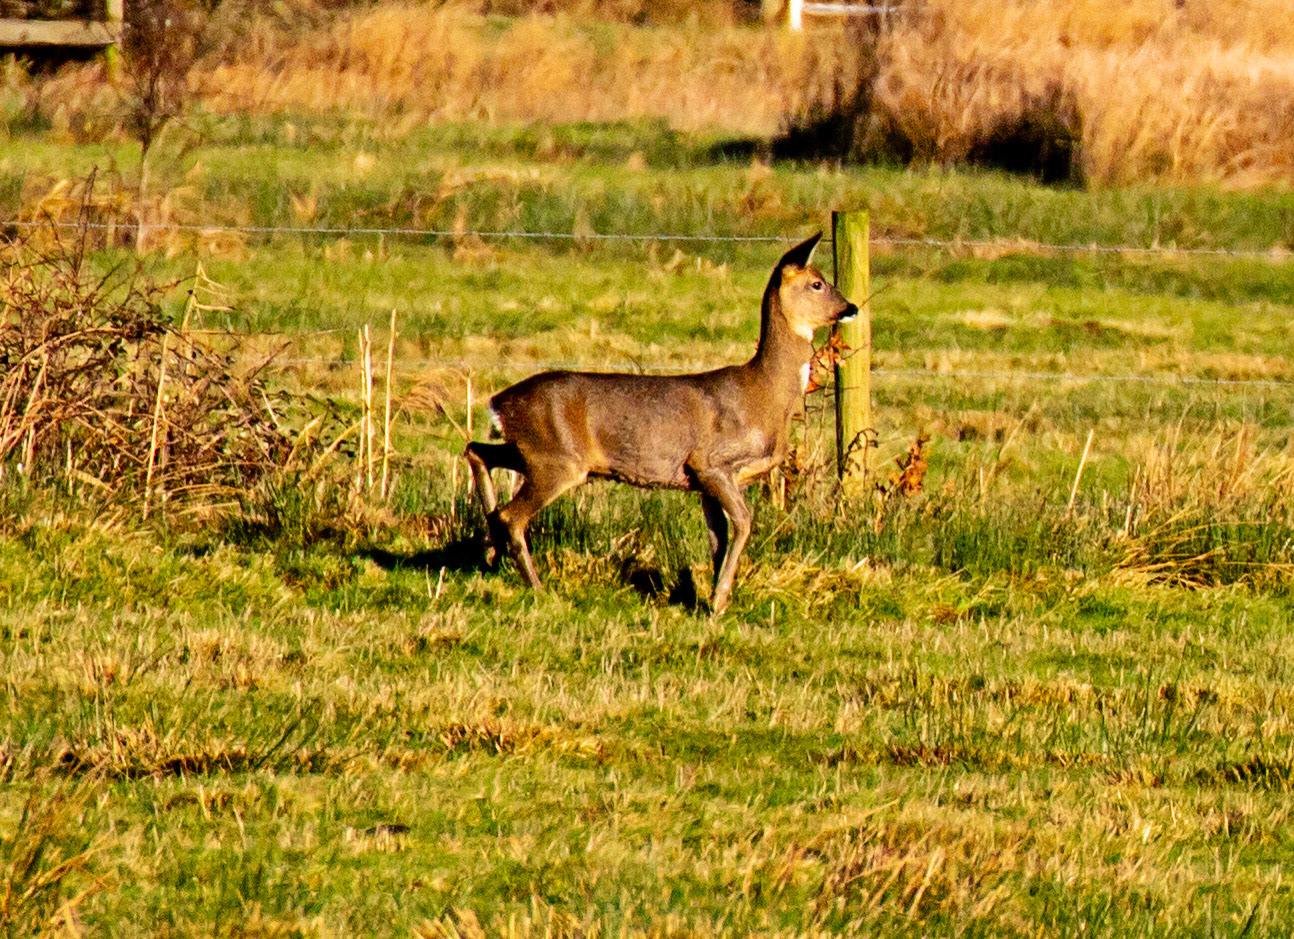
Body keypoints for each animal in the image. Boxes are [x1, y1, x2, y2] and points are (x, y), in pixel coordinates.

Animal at [463, 232, 857, 614]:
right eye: (817, 283)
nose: (851, 308)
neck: (764, 393)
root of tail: (499, 403)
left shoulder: (704, 481)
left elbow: (718, 539)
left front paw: (710, 599)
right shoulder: (710, 462)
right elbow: (744, 524)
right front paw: (719, 602)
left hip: (533, 452)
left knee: (477, 453)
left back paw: (491, 550)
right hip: (557, 460)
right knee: (512, 515)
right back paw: (538, 587)